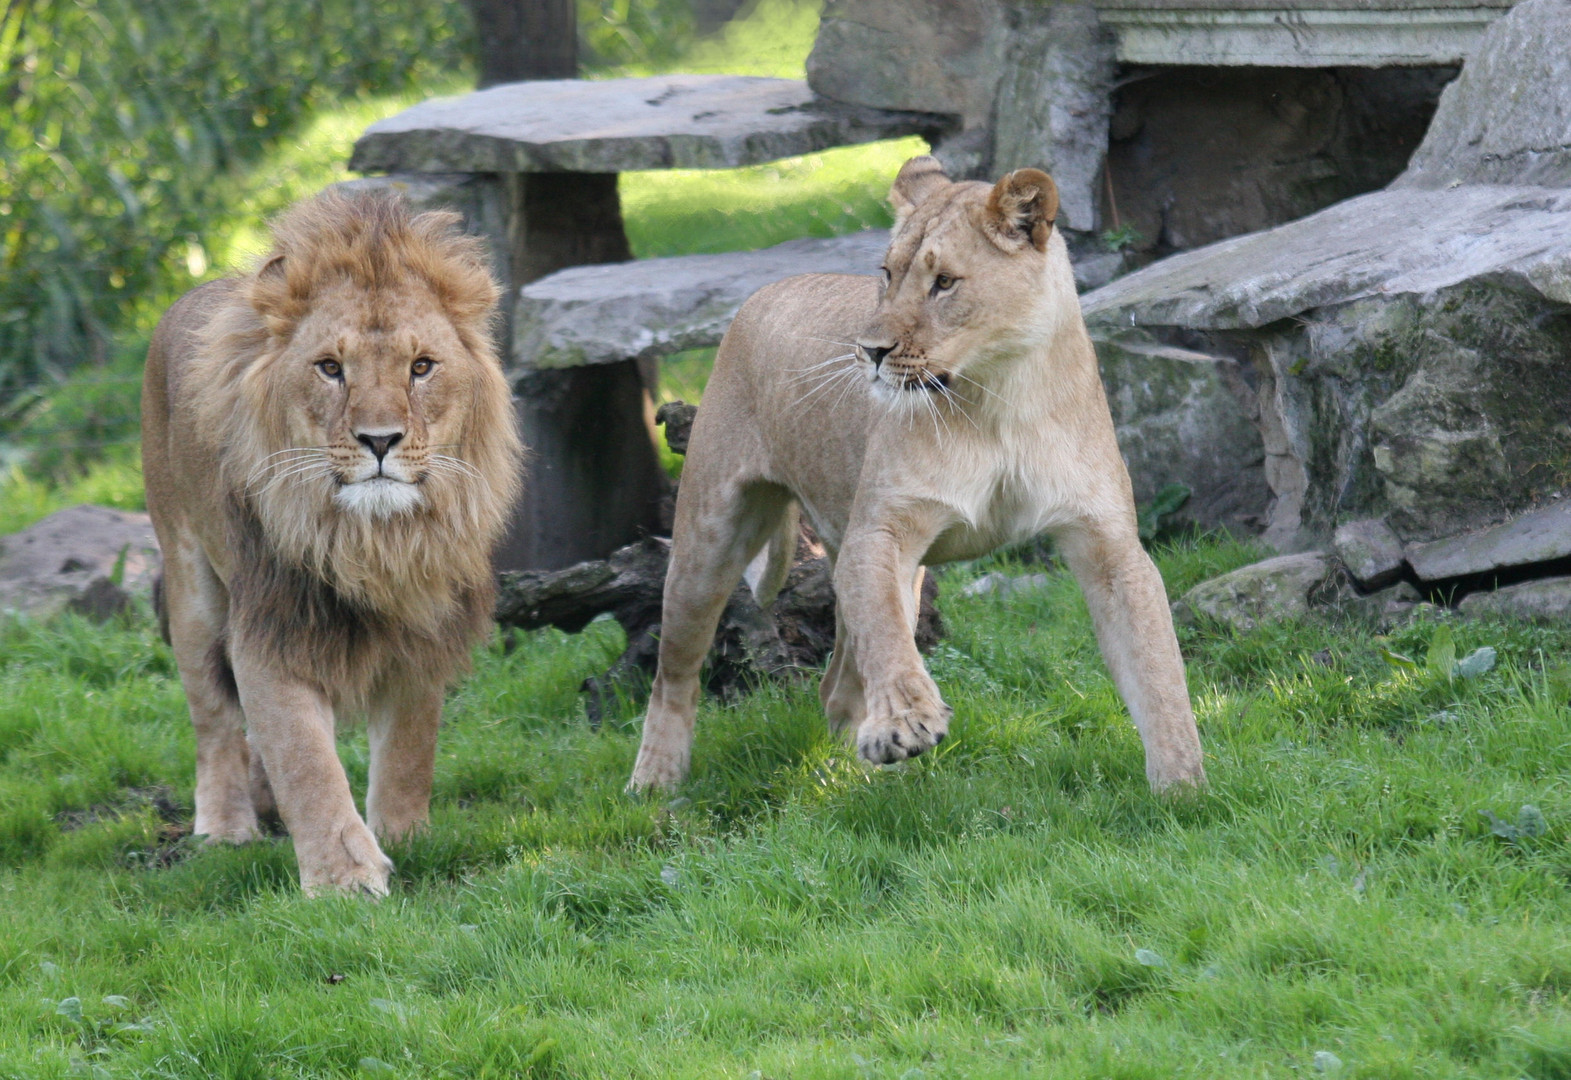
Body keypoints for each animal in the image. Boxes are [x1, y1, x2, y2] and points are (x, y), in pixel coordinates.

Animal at [142, 192, 521, 892]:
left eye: (421, 367)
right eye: (330, 369)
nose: (380, 440)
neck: (372, 542)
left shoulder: (423, 630)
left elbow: (409, 749)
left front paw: (404, 836)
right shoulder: (271, 629)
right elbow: (306, 762)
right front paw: (344, 880)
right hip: (192, 587)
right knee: (212, 720)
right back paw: (226, 828)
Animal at [631, 154, 1206, 795]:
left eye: (945, 283)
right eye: (887, 274)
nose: (870, 350)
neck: (997, 398)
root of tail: (766, 289)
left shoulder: (1108, 544)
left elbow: (1156, 665)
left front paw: (1184, 789)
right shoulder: (879, 532)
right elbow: (886, 637)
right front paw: (906, 722)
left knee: (836, 686)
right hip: (709, 540)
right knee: (675, 672)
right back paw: (654, 783)